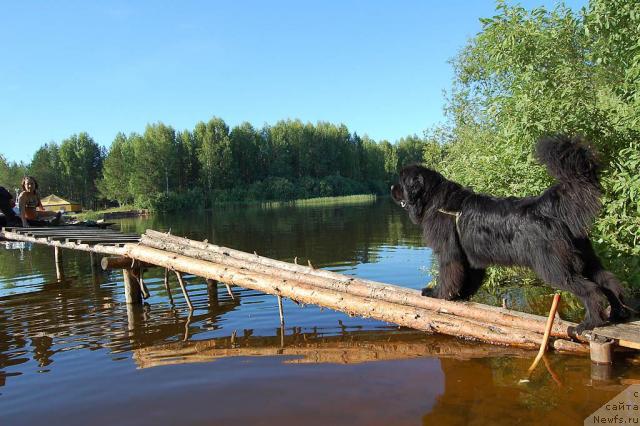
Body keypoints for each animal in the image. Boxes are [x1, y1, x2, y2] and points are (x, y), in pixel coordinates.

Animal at [390, 136, 632, 332]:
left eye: (401, 182)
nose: (391, 188)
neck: (435, 201)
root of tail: (547, 207)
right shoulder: (472, 256)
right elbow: (470, 278)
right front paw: (461, 295)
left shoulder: (449, 251)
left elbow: (449, 274)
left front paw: (438, 294)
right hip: (585, 256)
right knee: (607, 280)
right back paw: (618, 314)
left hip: (553, 265)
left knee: (591, 289)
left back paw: (589, 323)